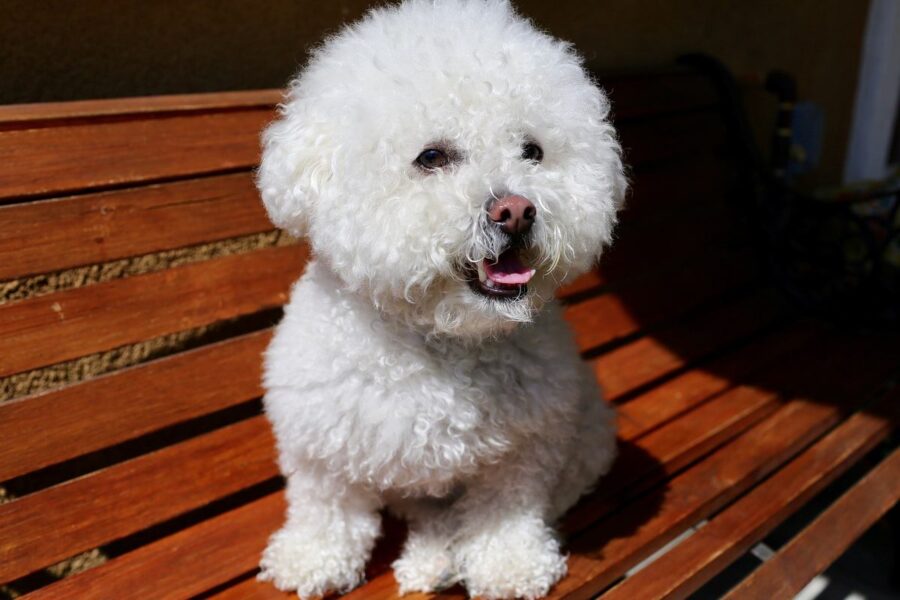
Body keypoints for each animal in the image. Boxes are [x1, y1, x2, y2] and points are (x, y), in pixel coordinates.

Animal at [256, 2, 624, 596]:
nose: (516, 211)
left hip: (587, 437)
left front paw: (509, 565)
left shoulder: (527, 447)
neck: (439, 339)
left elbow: (506, 508)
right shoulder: (321, 442)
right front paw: (312, 557)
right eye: (432, 157)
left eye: (533, 151)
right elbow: (326, 505)